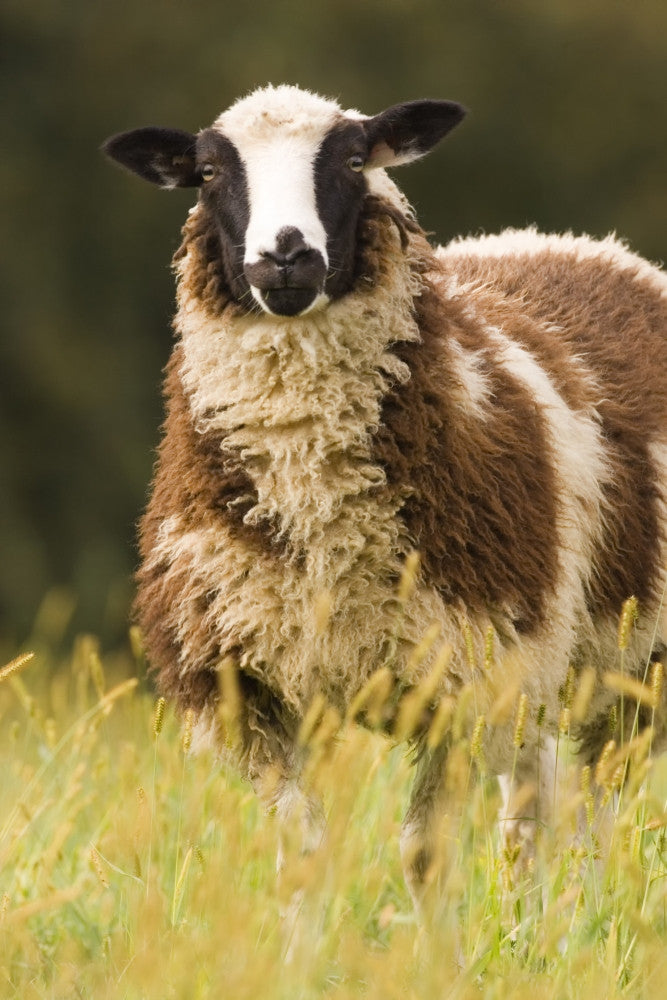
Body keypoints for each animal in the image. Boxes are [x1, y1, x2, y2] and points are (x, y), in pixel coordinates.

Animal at [104, 84, 667, 897]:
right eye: (208, 172)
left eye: (352, 159)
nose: (286, 255)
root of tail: (573, 242)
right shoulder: (257, 689)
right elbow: (305, 854)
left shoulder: (462, 673)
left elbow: (425, 857)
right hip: (541, 656)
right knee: (531, 808)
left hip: (627, 662)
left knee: (590, 815)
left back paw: (569, 916)